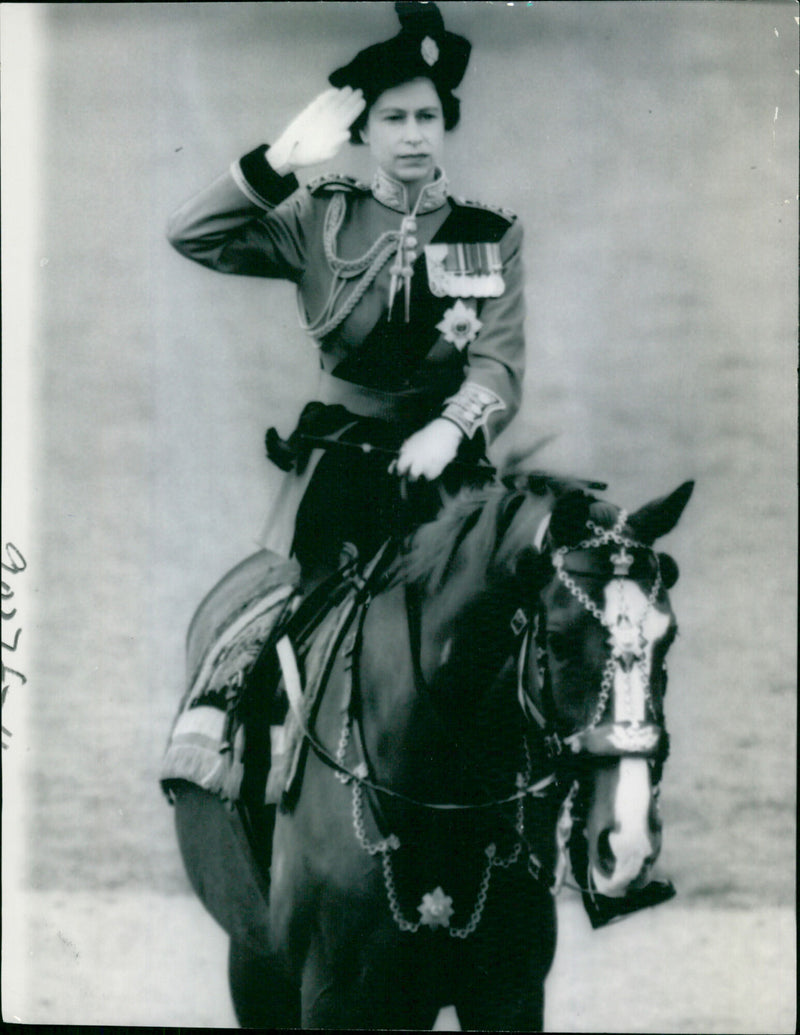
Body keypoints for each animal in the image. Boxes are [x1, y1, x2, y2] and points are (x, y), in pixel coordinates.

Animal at [169, 474, 691, 1030]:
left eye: (668, 638)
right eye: (559, 639)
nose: (629, 843)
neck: (440, 799)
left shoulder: (509, 993)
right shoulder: (333, 997)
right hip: (257, 964)